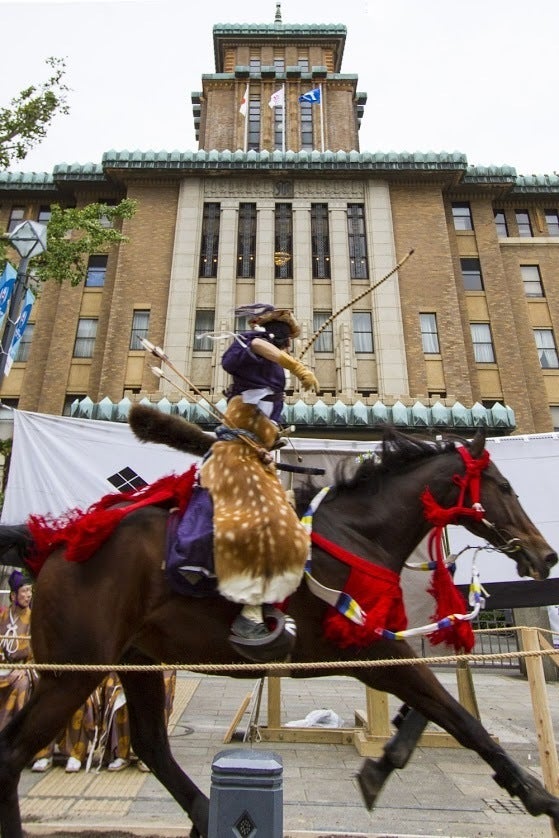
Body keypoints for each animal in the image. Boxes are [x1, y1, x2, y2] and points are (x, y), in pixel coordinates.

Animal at [0, 425, 558, 838]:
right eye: (504, 487)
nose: (545, 554)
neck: (357, 534)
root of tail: (57, 541)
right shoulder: (366, 648)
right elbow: (460, 719)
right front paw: (538, 795)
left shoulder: (378, 649)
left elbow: (433, 711)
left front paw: (383, 765)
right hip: (74, 668)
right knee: (15, 751)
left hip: (135, 661)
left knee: (152, 744)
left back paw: (205, 815)